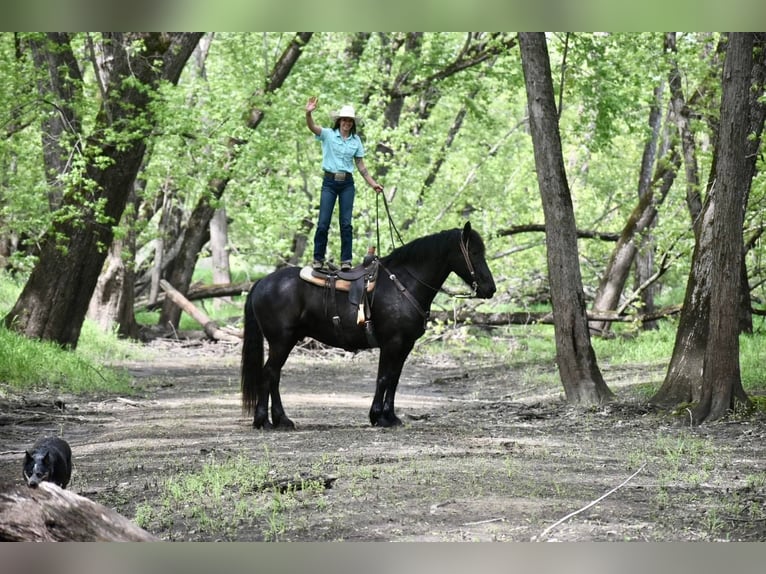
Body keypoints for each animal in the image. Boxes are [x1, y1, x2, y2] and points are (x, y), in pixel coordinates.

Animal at [243, 223, 500, 430]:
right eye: (474, 252)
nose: (490, 288)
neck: (403, 285)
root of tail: (262, 282)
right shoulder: (392, 343)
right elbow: (384, 378)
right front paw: (378, 416)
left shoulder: (405, 345)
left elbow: (394, 379)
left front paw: (390, 416)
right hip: (281, 341)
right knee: (269, 373)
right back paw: (266, 421)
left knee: (274, 375)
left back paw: (280, 420)